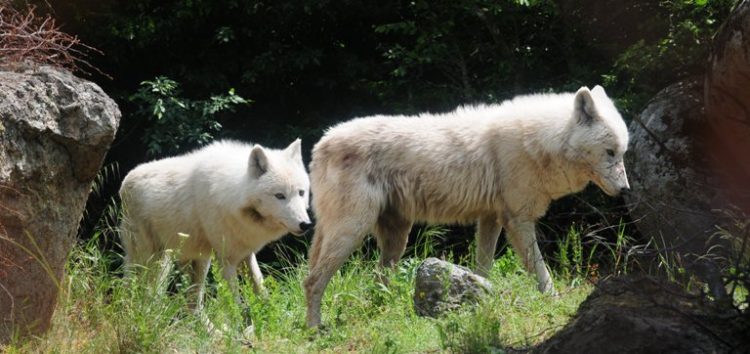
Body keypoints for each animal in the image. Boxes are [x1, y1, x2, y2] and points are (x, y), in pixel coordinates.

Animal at [119, 138, 312, 306]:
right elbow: (235, 304)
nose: (305, 224)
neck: (232, 193)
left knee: (192, 305)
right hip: (151, 260)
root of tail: (125, 181)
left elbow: (261, 291)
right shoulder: (226, 261)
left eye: (301, 193)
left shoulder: (246, 255)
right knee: (139, 293)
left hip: (195, 261)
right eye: (280, 196)